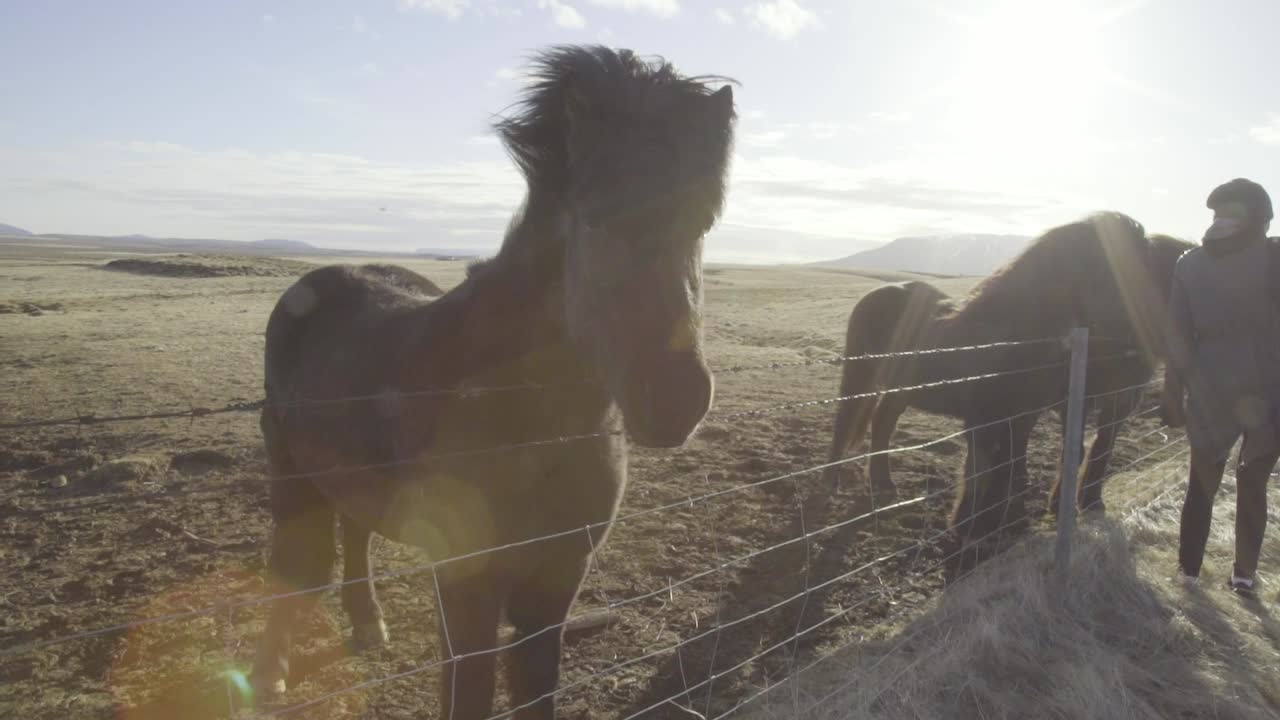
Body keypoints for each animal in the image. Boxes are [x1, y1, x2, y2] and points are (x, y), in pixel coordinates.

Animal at [248, 45, 736, 719]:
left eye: (704, 223)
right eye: (593, 220)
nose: (673, 399)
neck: (531, 422)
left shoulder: (558, 576)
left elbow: (536, 691)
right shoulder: (466, 580)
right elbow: (471, 691)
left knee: (355, 530)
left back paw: (367, 622)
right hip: (290, 470)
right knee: (294, 561)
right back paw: (270, 671)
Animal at [816, 212, 1173, 579]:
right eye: (1118, 271)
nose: (1143, 351)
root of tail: (875, 295)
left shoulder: (1025, 414)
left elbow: (1012, 463)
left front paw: (1000, 523)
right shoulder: (986, 416)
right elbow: (983, 467)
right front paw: (972, 528)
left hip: (900, 388)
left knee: (883, 422)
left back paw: (883, 483)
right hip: (859, 375)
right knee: (845, 424)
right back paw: (832, 484)